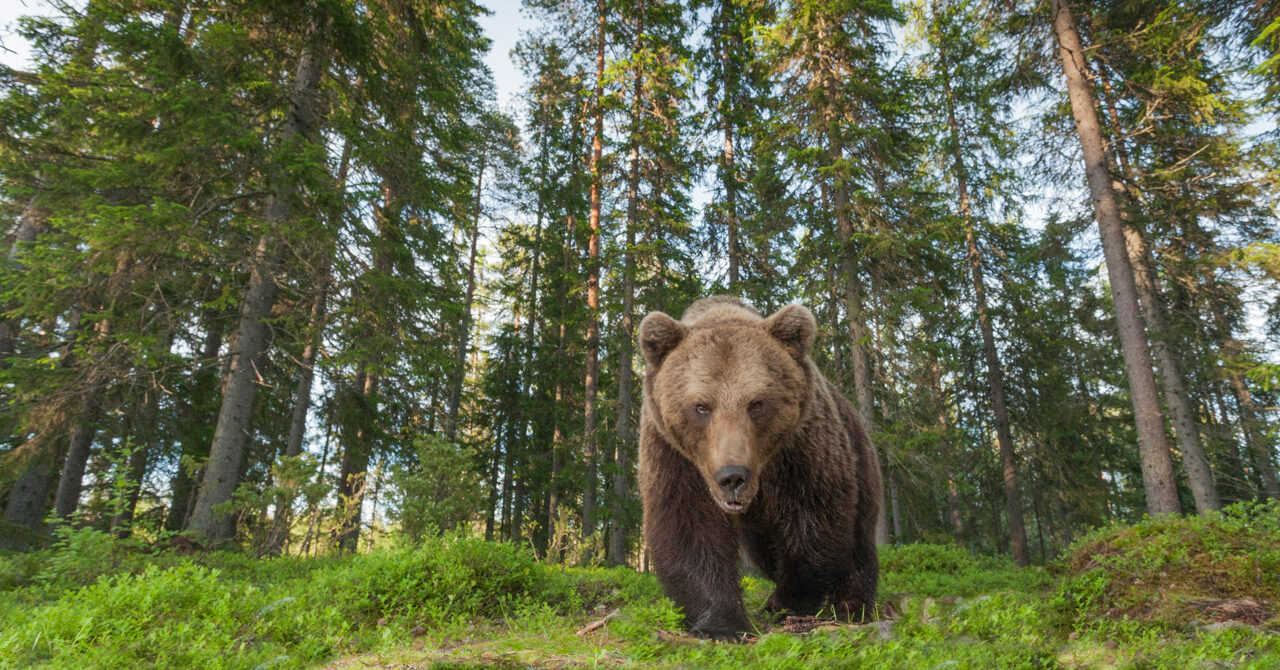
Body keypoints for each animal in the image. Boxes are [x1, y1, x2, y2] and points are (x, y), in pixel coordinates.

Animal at [637, 296, 882, 641]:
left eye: (756, 403)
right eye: (701, 406)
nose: (732, 476)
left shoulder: (800, 450)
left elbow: (814, 522)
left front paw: (785, 603)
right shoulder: (675, 456)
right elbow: (690, 528)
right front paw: (722, 625)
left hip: (859, 457)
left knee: (858, 540)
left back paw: (851, 605)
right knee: (764, 553)